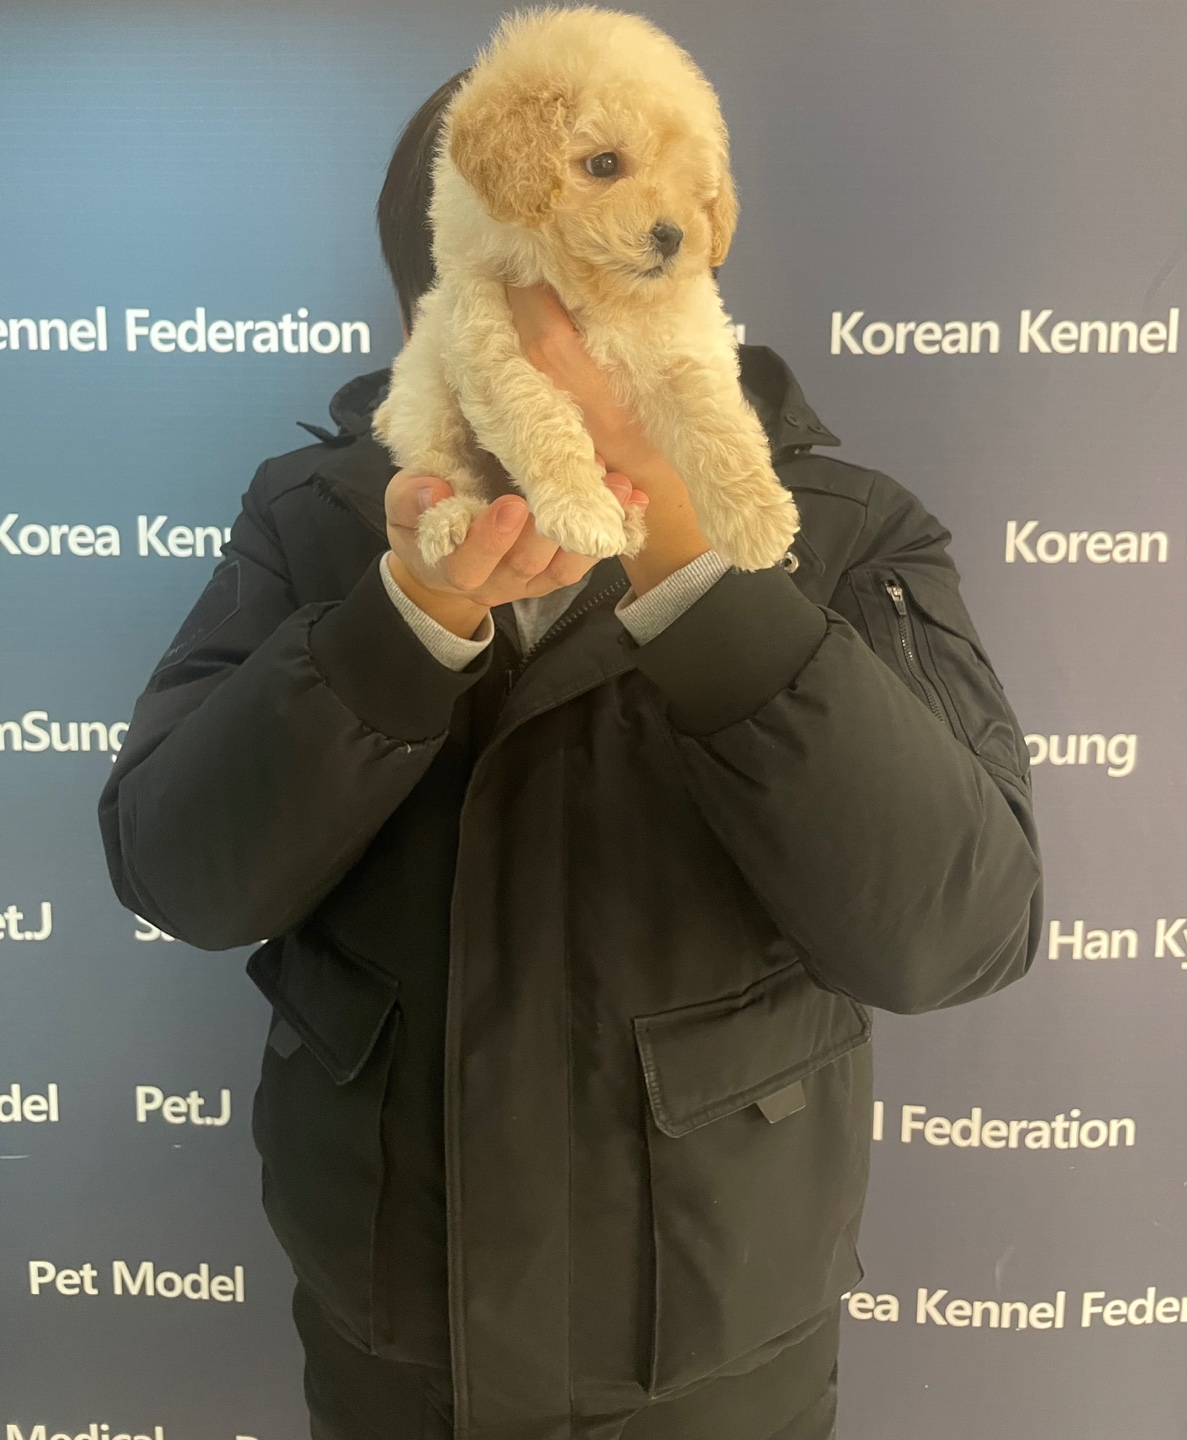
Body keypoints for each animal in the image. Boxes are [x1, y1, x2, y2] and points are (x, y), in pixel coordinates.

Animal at [372, 6, 800, 571]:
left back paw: (634, 520)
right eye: (604, 164)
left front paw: (757, 518)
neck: (598, 296)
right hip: (426, 402)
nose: (673, 235)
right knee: (448, 469)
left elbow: (715, 423)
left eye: (693, 189)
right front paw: (584, 510)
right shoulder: (485, 336)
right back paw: (453, 519)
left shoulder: (683, 341)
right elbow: (535, 413)